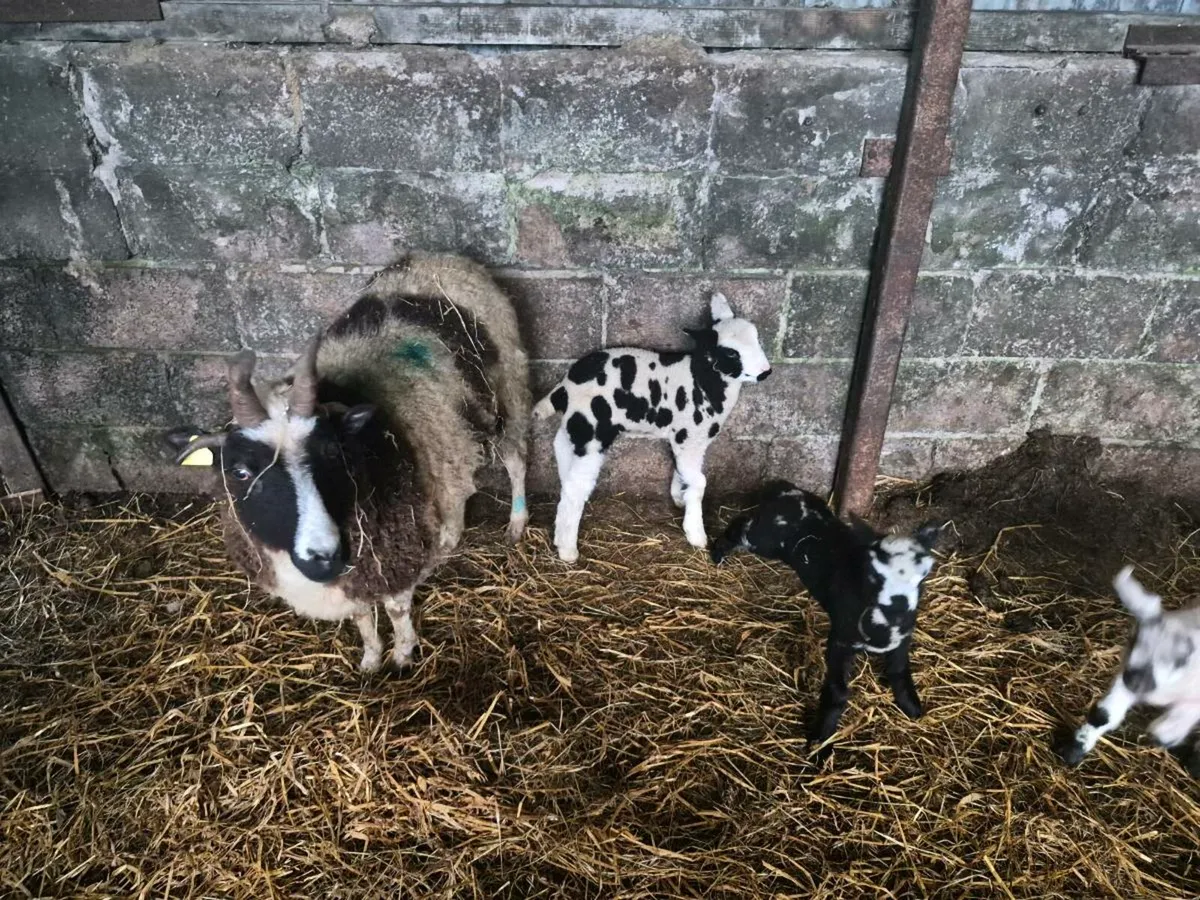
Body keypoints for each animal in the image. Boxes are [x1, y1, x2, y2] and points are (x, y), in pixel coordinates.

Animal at [167, 253, 530, 672]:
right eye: (240, 472)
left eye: (332, 453)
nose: (323, 556)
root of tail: (437, 258)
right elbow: (361, 615)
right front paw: (371, 658)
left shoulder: (391, 557)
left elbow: (396, 609)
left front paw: (402, 654)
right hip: (447, 447)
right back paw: (449, 538)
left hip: (507, 393)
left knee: (516, 461)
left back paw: (517, 523)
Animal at [532, 292, 772, 562]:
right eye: (731, 353)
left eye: (757, 337)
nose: (766, 372)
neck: (704, 380)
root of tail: (566, 384)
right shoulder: (688, 437)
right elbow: (700, 482)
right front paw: (696, 533)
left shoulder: (688, 440)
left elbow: (682, 472)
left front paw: (680, 498)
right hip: (591, 431)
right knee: (575, 487)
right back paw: (567, 549)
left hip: (575, 426)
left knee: (564, 465)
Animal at [711, 482, 944, 755]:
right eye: (872, 574)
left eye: (924, 577)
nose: (895, 617)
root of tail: (784, 491)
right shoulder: (840, 639)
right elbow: (838, 691)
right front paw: (820, 740)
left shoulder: (903, 637)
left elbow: (898, 670)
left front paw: (912, 707)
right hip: (764, 538)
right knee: (743, 527)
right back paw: (717, 552)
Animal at [1060, 566, 1200, 775]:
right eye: (1135, 639)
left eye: (1181, 660)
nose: (1134, 679)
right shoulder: (1124, 676)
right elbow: (1104, 714)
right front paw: (1073, 750)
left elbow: (1172, 726)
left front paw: (1168, 735)